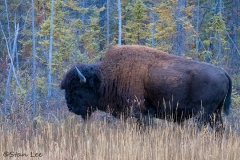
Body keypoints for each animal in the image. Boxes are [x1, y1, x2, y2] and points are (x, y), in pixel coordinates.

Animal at [61, 45, 232, 130]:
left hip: (203, 113)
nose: (70, 107)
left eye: (76, 89)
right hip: (215, 113)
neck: (105, 78)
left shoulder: (140, 114)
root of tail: (223, 72)